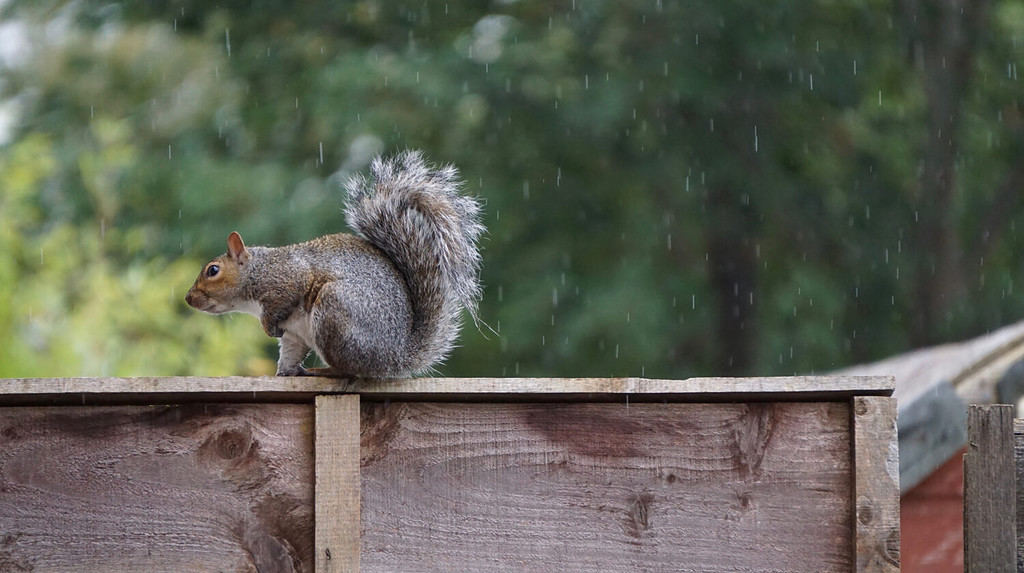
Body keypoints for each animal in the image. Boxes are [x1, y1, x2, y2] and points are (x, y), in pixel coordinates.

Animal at [185, 150, 483, 378]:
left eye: (213, 270)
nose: (189, 298)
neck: (258, 271)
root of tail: (394, 358)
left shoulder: (288, 279)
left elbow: (282, 301)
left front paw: (268, 328)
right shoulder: (294, 334)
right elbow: (290, 347)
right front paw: (281, 370)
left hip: (334, 310)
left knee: (349, 370)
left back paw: (323, 371)